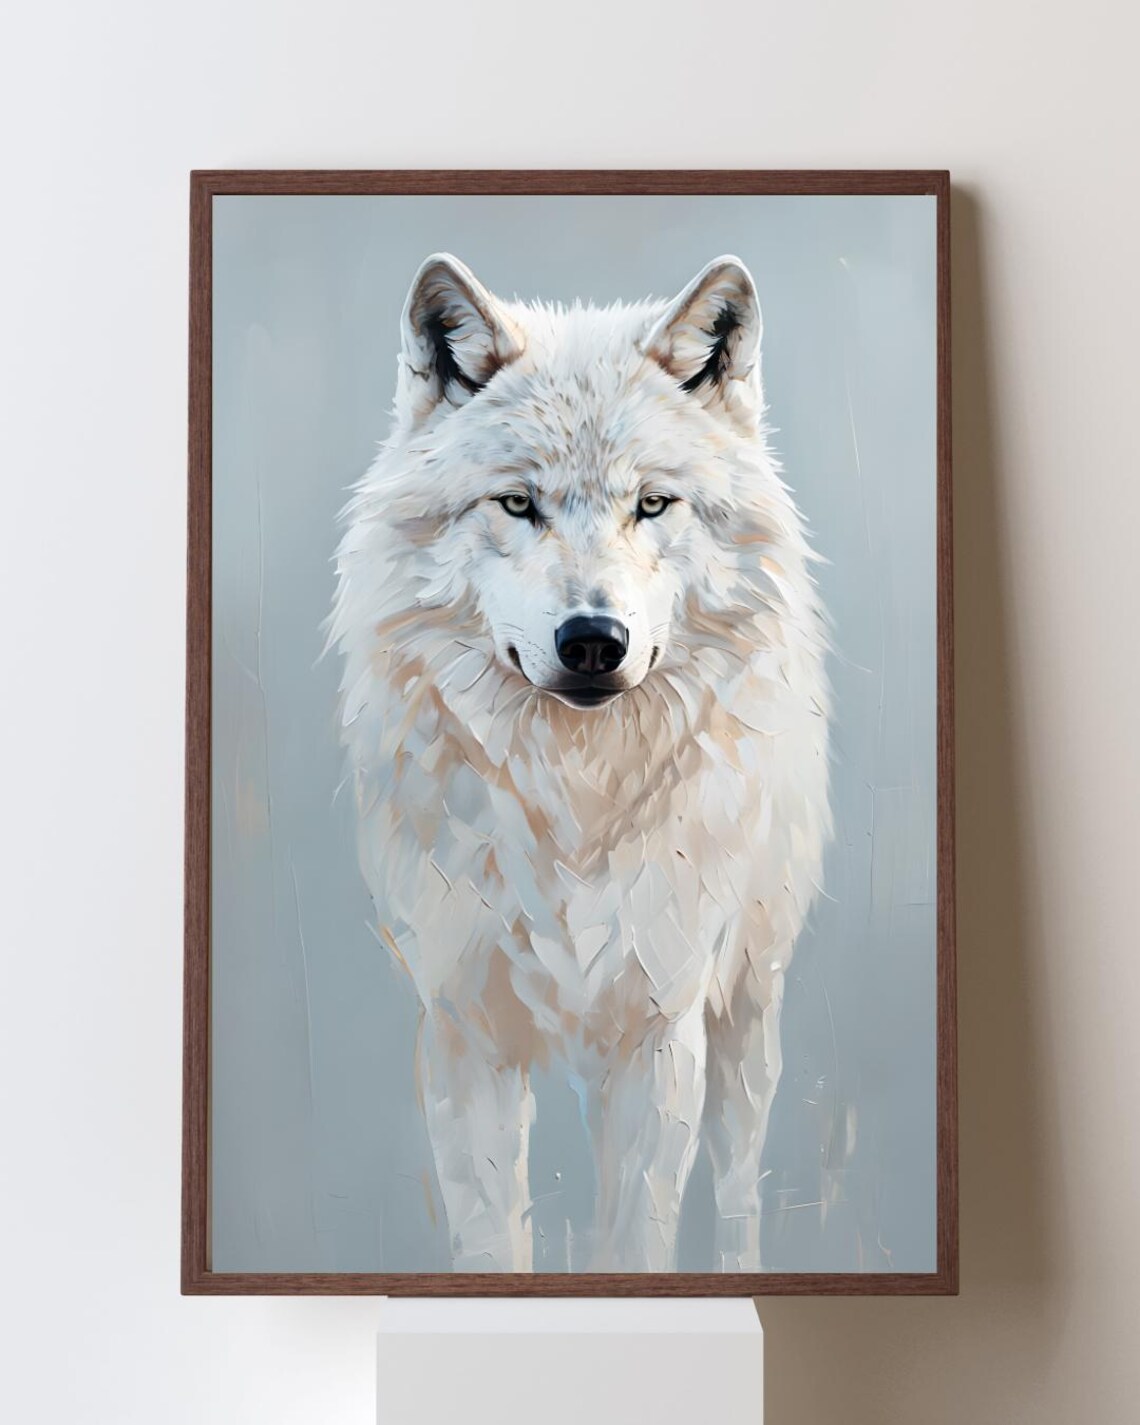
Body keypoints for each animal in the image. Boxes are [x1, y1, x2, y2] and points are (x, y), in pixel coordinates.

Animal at [330, 252, 830, 1273]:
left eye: (652, 502)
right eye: (519, 503)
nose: (594, 639)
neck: (575, 798)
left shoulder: (662, 1029)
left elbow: (636, 1240)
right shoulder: (464, 1028)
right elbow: (491, 1239)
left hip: (749, 1002)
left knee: (739, 1179)